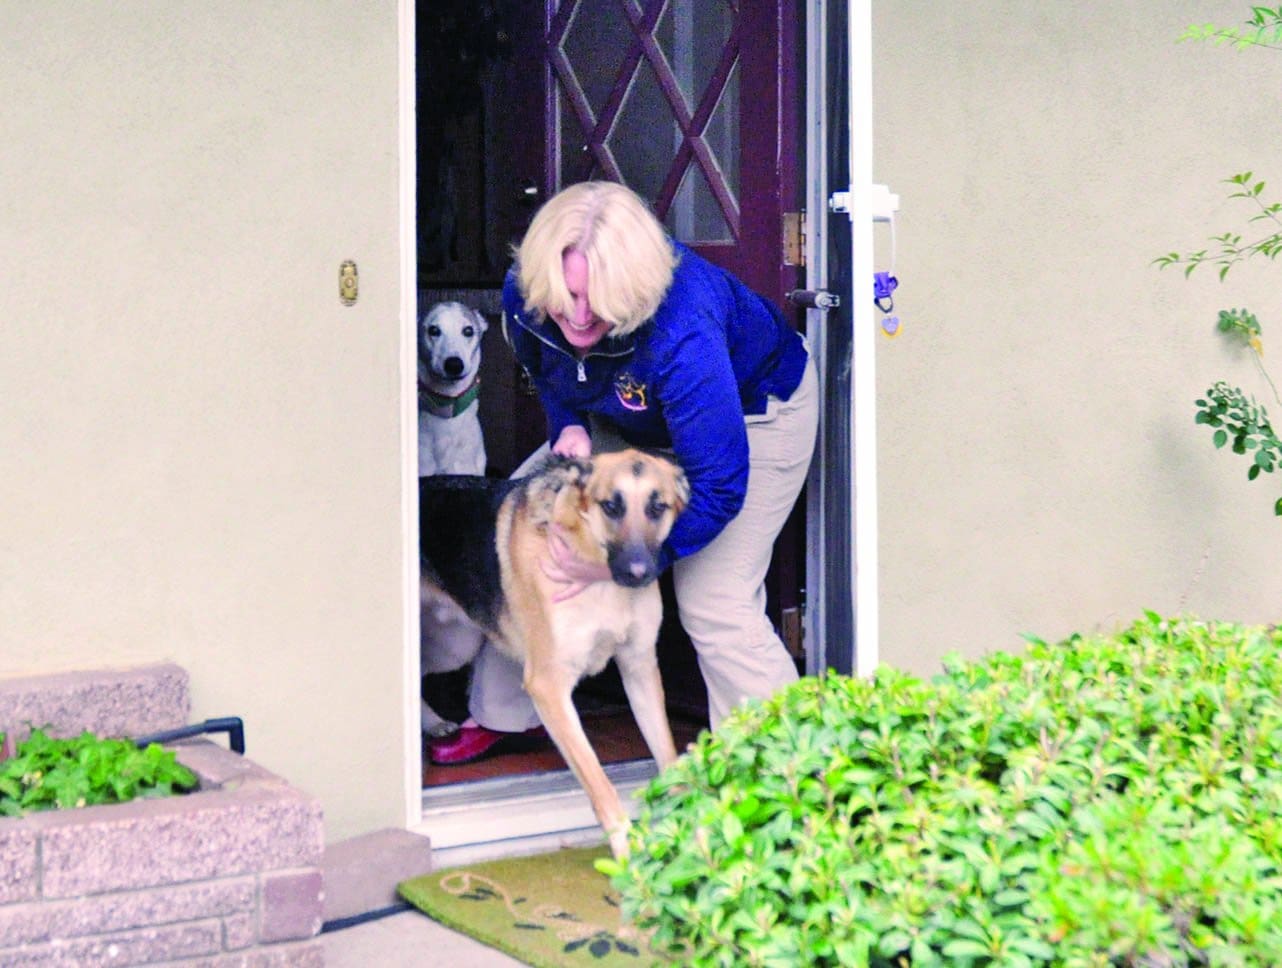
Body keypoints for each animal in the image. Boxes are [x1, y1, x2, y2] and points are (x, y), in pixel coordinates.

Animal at [417, 448, 692, 856]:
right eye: (611, 506)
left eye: (658, 507)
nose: (638, 572)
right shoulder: (549, 687)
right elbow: (601, 787)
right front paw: (625, 858)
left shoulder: (639, 670)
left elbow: (669, 758)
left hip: (455, 643)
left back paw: (433, 722)